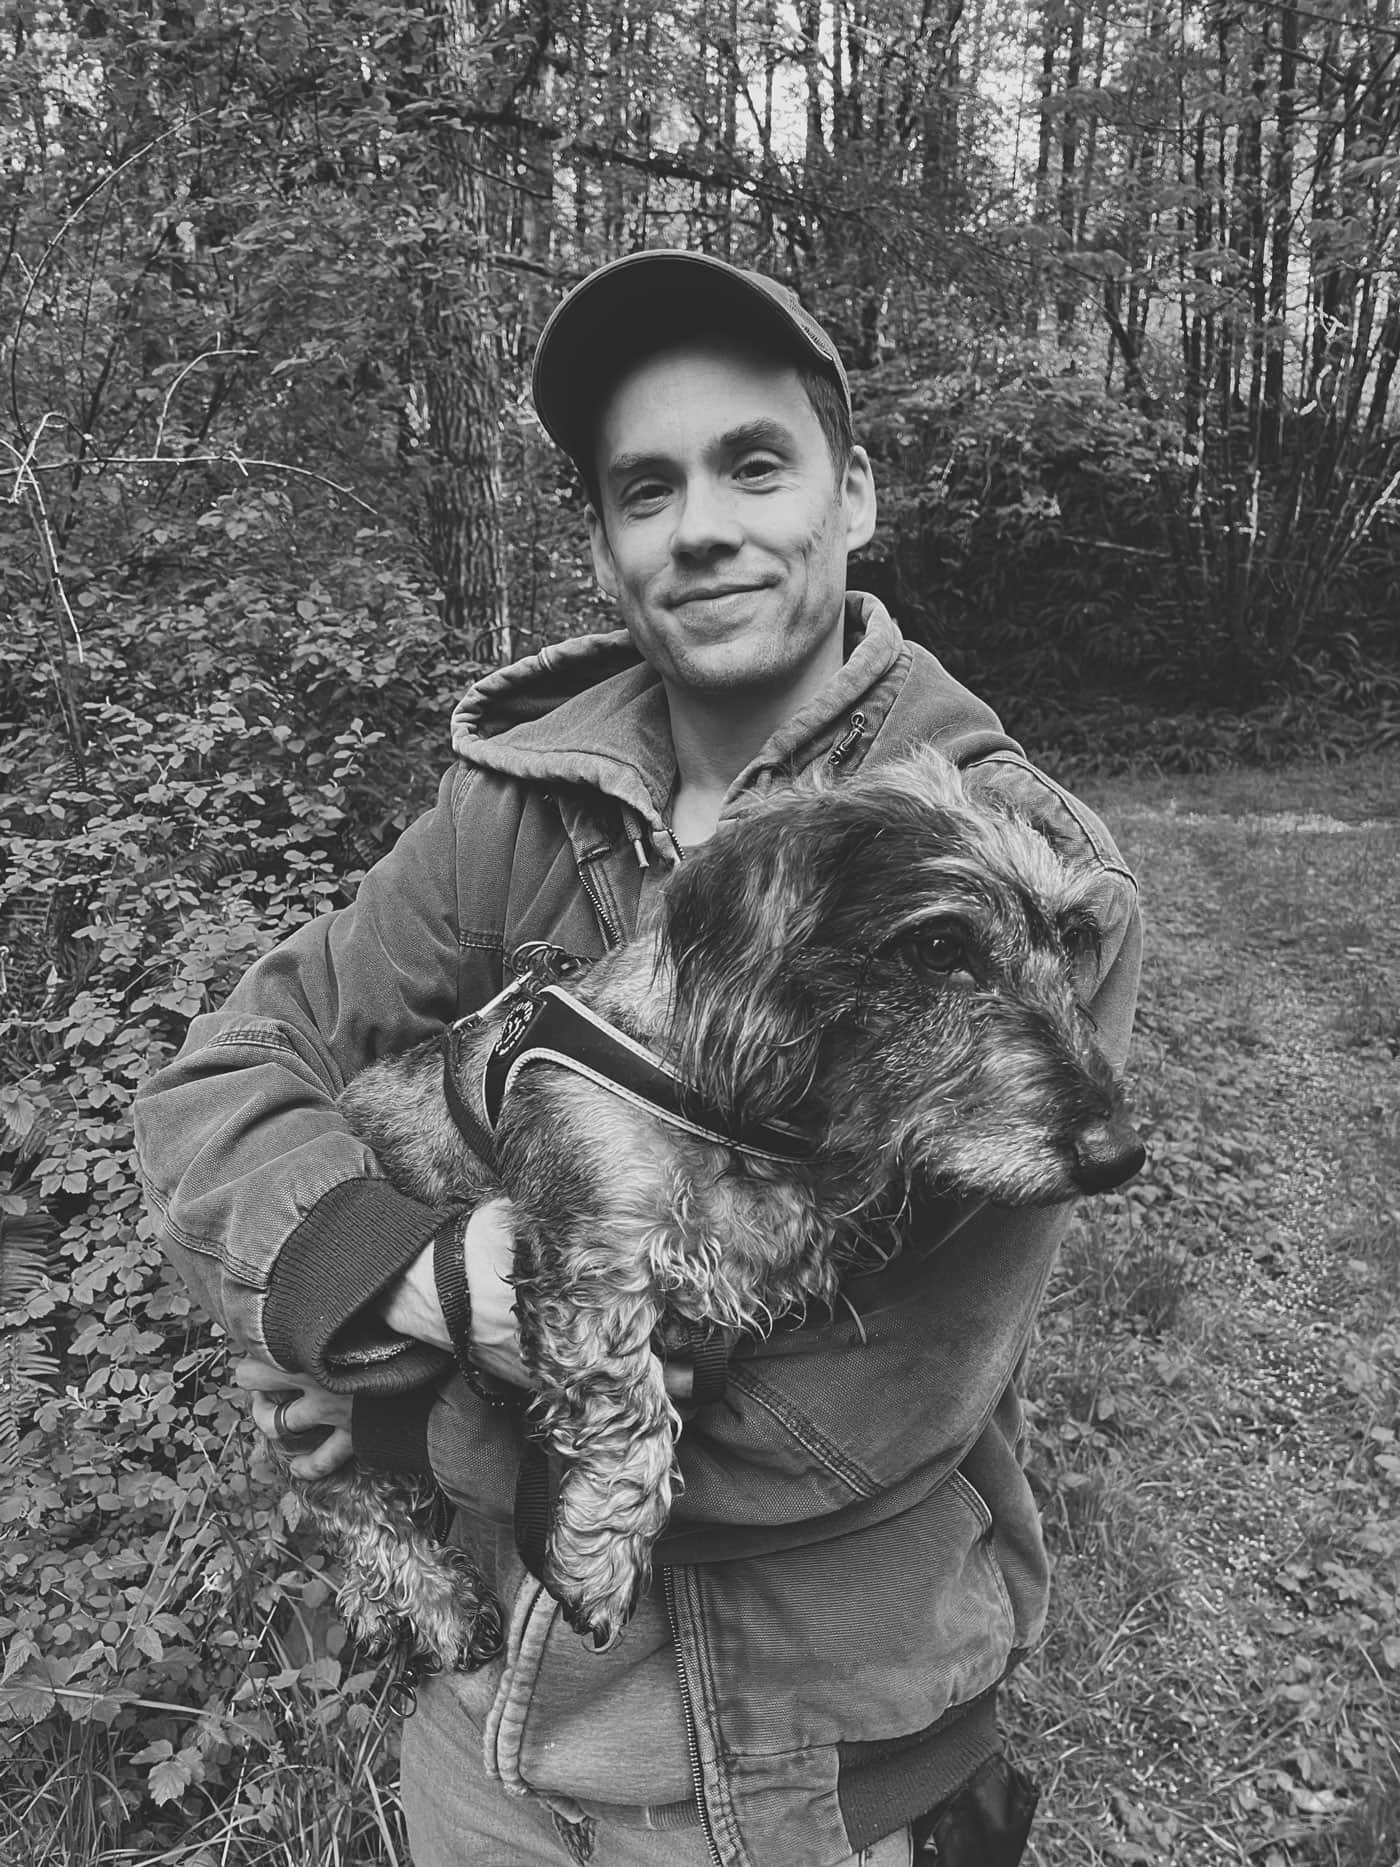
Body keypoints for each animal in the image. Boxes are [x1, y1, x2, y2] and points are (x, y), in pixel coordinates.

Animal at [285, 750, 1142, 1672]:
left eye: (1073, 938)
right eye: (942, 945)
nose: (1118, 1152)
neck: (704, 1085)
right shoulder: (590, 1254)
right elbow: (630, 1404)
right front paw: (600, 1558)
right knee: (348, 1505)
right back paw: (435, 1604)